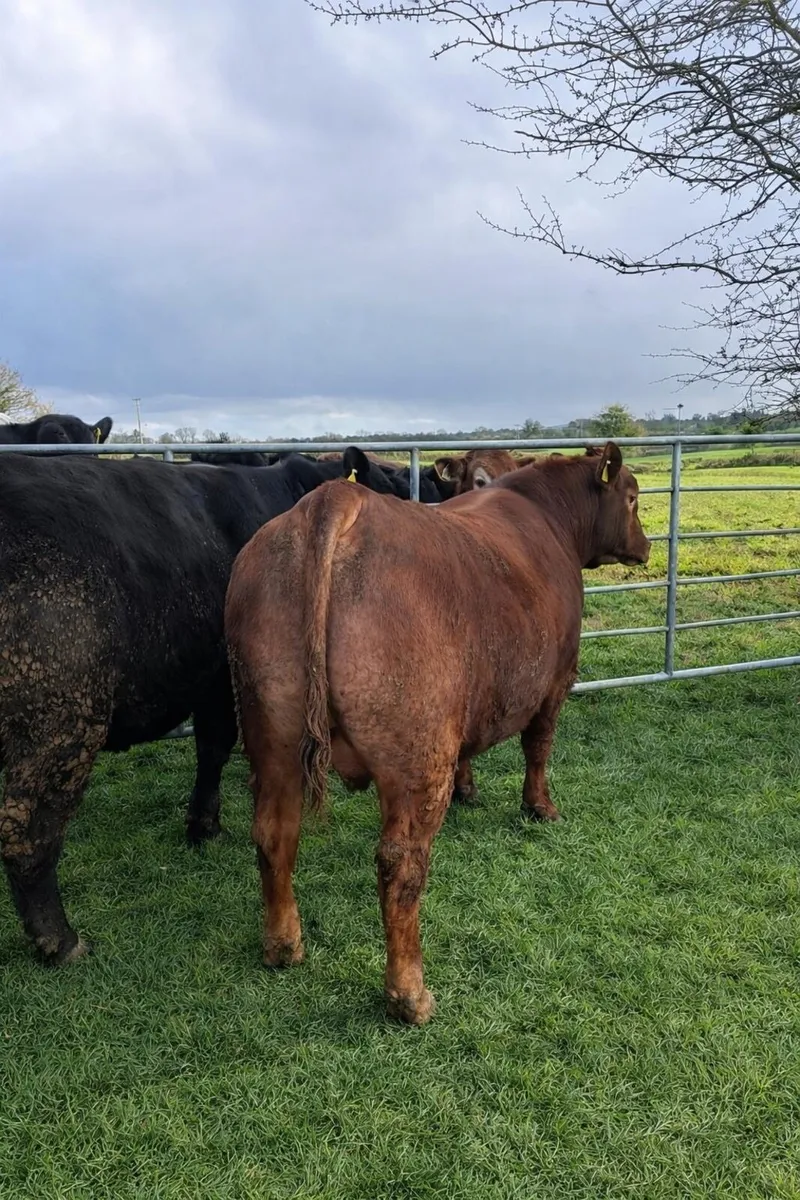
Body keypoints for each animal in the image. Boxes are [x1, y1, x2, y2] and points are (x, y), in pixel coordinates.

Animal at [0, 445, 391, 965]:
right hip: (58, 727)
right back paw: (61, 941)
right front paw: (206, 825)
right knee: (27, 834)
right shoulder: (229, 681)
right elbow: (216, 748)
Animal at [225, 443, 650, 1025]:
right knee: (401, 863)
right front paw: (540, 807)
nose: (646, 546)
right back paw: (409, 995)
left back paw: (283, 946)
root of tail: (335, 501)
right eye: (632, 497)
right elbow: (538, 747)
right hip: (416, 761)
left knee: (273, 833)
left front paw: (471, 788)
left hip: (272, 733)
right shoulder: (556, 679)